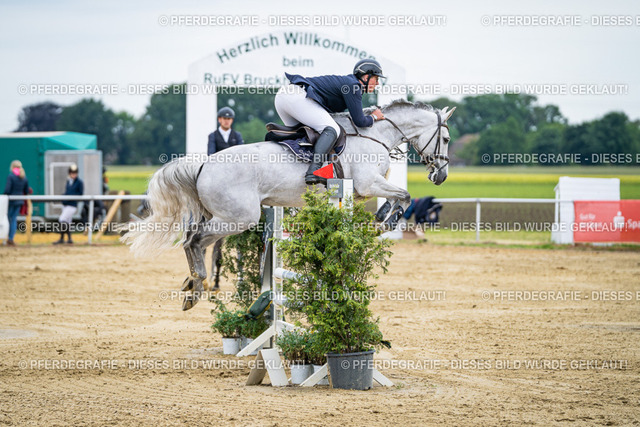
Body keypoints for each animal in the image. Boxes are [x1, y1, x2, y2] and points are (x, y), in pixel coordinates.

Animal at [121, 99, 455, 310]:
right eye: (447, 139)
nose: (441, 175)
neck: (375, 136)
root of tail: (203, 164)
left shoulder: (365, 188)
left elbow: (397, 197)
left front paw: (384, 217)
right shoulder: (366, 183)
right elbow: (404, 196)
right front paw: (386, 222)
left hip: (221, 215)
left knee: (195, 242)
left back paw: (192, 285)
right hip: (238, 217)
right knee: (194, 240)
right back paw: (198, 286)